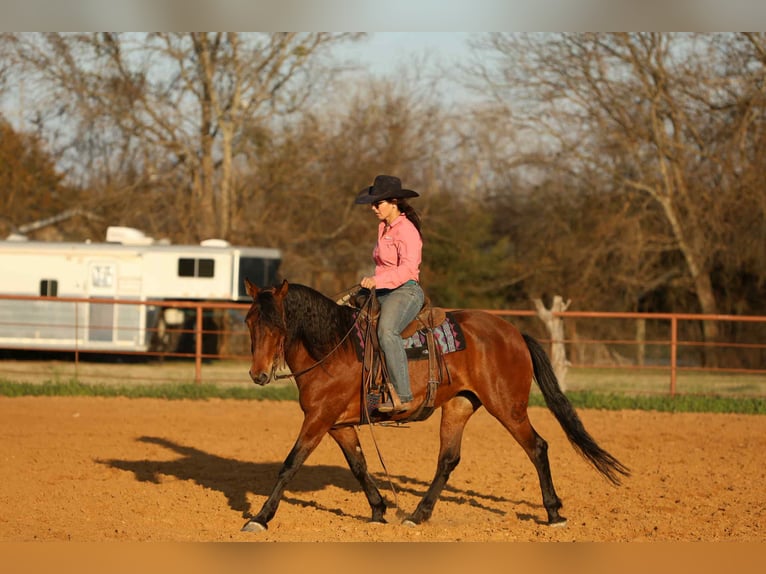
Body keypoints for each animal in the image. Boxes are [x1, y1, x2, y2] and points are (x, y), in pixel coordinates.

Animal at [240, 279, 629, 532]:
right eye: (249, 321)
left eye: (277, 323)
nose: (258, 374)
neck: (334, 347)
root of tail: (514, 333)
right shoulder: (338, 423)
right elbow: (359, 466)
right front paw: (379, 510)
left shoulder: (319, 419)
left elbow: (290, 465)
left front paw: (259, 518)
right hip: (459, 405)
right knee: (447, 459)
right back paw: (417, 514)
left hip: (507, 406)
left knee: (537, 447)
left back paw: (554, 514)